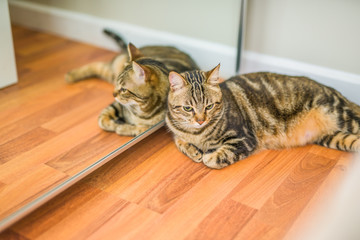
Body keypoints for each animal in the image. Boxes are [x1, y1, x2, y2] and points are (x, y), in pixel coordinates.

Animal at [66, 29, 198, 136]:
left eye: (124, 89)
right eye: (117, 85)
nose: (113, 94)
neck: (143, 112)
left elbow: (141, 128)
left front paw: (127, 128)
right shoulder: (118, 105)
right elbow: (102, 121)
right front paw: (119, 125)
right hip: (112, 70)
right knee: (96, 65)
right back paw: (71, 76)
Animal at [166, 63, 360, 169]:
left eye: (209, 106)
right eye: (188, 108)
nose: (200, 120)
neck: (197, 133)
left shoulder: (244, 138)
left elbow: (214, 158)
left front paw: (207, 154)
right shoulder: (177, 131)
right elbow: (179, 141)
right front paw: (193, 151)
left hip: (342, 116)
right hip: (334, 137)